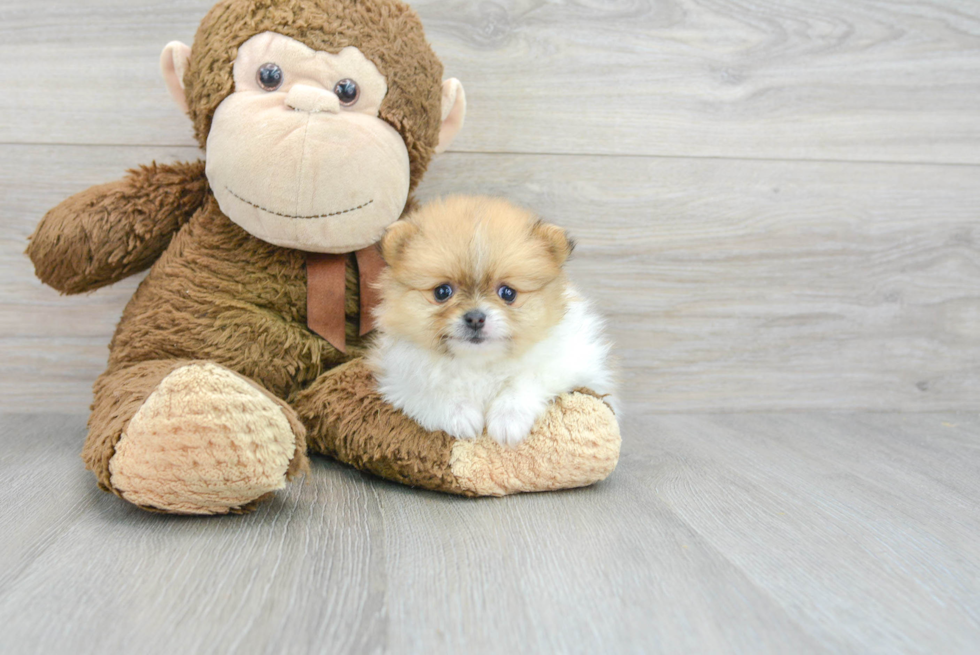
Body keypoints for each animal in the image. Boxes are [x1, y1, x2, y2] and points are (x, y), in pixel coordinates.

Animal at [368, 195, 612, 448]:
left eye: (508, 293)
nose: (475, 318)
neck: (480, 363)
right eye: (442, 292)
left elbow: (527, 379)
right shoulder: (397, 376)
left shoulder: (572, 362)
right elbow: (429, 389)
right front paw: (460, 415)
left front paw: (508, 419)